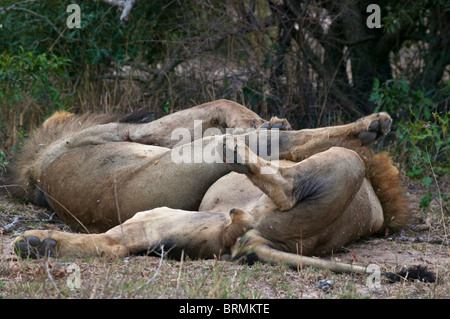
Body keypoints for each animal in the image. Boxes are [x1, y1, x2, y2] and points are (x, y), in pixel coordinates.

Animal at [5, 101, 410, 276]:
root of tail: (258, 236)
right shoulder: (135, 132)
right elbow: (222, 103)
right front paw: (260, 119)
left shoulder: (131, 132)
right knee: (280, 147)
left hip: (175, 198)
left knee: (114, 244)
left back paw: (39, 244)